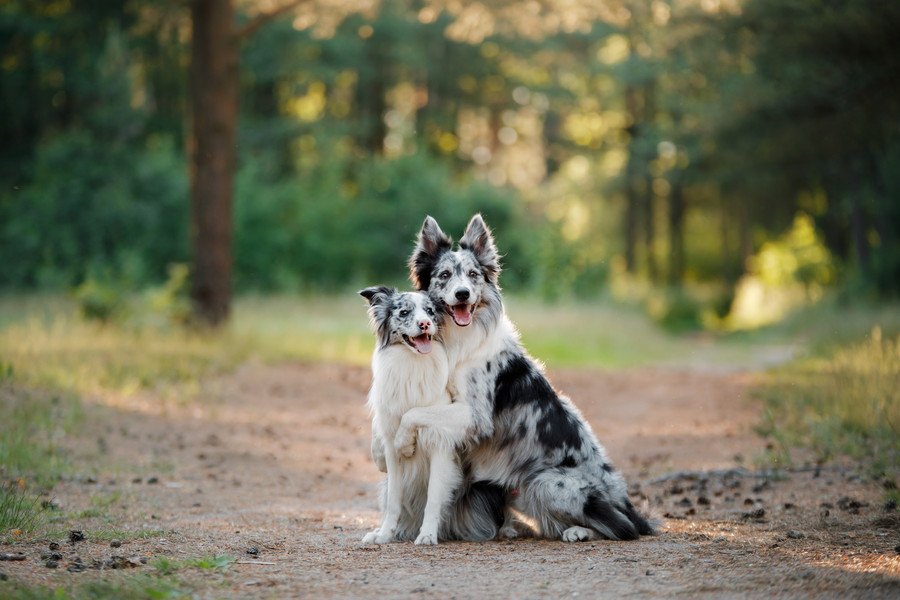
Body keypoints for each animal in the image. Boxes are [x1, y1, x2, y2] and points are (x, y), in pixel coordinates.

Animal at [400, 216, 652, 544]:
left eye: (473, 275)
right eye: (444, 275)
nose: (463, 294)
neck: (461, 341)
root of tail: (630, 506)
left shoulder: (476, 416)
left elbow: (413, 413)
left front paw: (402, 442)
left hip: (546, 482)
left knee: (622, 528)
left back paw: (579, 531)